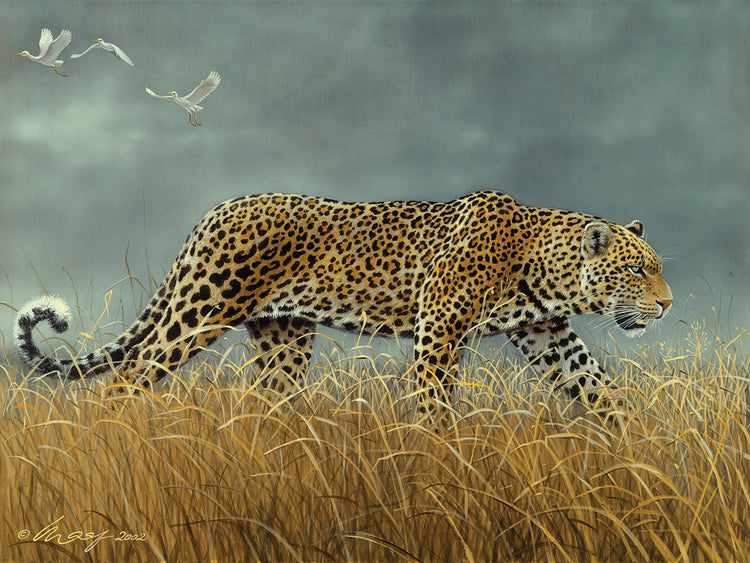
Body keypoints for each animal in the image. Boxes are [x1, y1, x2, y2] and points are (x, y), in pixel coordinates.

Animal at [14, 190, 672, 418]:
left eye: (657, 267)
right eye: (638, 269)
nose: (666, 305)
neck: (544, 268)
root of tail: (216, 211)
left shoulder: (548, 334)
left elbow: (598, 387)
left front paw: (634, 450)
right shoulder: (440, 327)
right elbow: (433, 402)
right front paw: (440, 463)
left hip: (285, 337)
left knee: (267, 398)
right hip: (200, 311)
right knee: (128, 376)